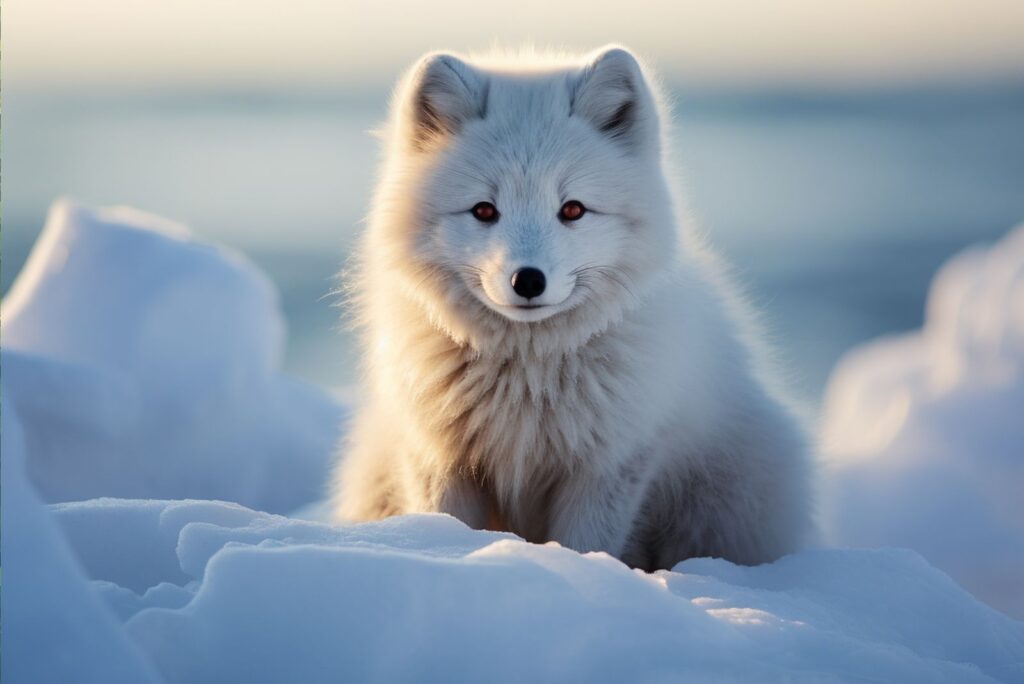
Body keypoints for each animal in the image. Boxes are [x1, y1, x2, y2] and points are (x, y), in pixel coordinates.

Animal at [335, 46, 815, 565]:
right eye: (484, 210)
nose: (528, 280)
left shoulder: (610, 465)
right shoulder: (439, 458)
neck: (526, 380)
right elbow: (446, 524)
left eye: (572, 209)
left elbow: (585, 545)